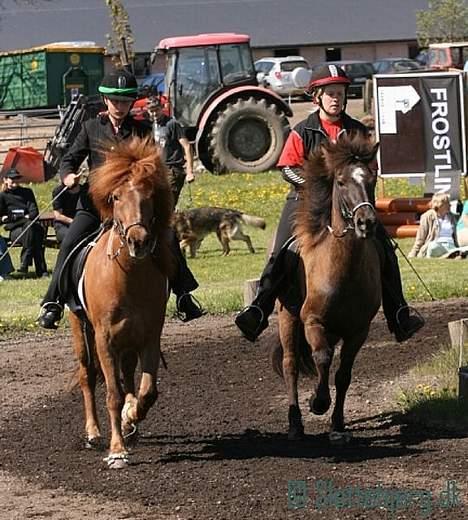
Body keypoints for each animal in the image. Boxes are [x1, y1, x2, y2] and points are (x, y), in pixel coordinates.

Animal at [68, 136, 173, 470]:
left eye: (149, 196)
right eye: (115, 196)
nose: (138, 241)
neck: (128, 278)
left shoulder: (150, 336)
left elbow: (148, 391)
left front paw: (130, 418)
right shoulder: (104, 340)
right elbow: (112, 394)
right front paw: (116, 451)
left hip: (128, 342)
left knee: (127, 377)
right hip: (81, 332)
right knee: (87, 376)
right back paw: (93, 433)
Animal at [274, 133, 380, 442]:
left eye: (372, 179)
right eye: (341, 182)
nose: (366, 222)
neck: (342, 273)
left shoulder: (358, 330)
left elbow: (343, 373)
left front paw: (337, 424)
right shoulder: (312, 321)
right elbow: (321, 357)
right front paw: (318, 402)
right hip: (287, 318)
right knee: (291, 365)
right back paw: (295, 424)